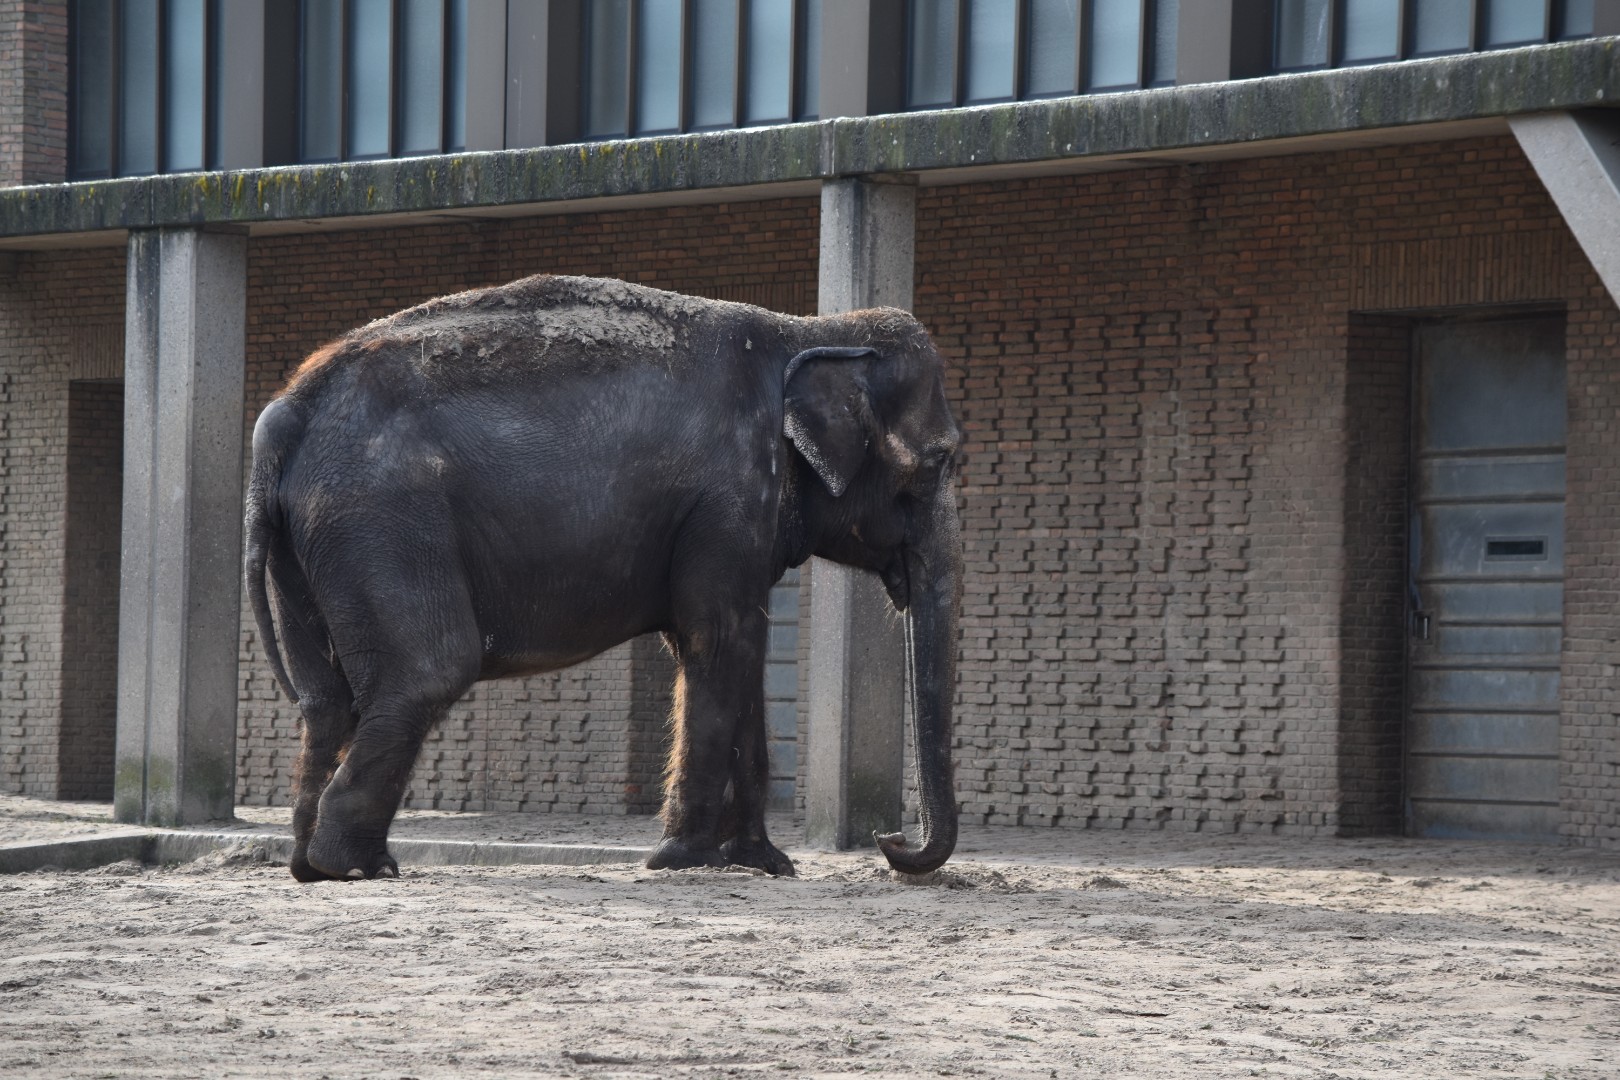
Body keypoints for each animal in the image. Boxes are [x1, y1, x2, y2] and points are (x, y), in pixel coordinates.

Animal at [243, 274, 962, 882]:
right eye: (940, 462)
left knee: (326, 700)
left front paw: (765, 864)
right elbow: (719, 640)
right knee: (428, 670)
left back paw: (313, 865)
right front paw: (684, 860)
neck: (808, 329)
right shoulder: (726, 501)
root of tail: (283, 418)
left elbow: (731, 650)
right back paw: (357, 868)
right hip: (381, 521)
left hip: (313, 545)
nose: (891, 843)